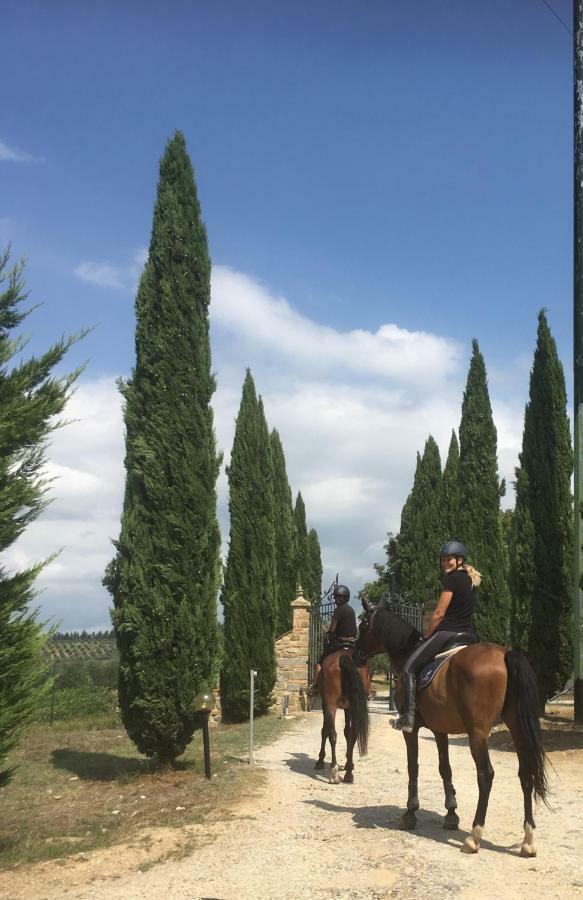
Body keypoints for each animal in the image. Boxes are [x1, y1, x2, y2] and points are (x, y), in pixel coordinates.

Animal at [314, 652, 370, 784]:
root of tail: (343, 657)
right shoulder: (348, 707)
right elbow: (347, 732)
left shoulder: (325, 705)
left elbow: (324, 731)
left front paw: (320, 760)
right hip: (353, 705)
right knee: (353, 734)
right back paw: (348, 772)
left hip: (331, 703)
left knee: (332, 733)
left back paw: (334, 771)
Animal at [356, 600, 548, 856]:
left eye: (363, 625)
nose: (355, 653)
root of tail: (505, 653)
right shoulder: (440, 730)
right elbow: (445, 768)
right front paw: (451, 814)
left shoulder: (411, 730)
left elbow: (413, 767)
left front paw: (410, 813)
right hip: (516, 725)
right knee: (525, 772)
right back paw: (527, 840)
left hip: (478, 733)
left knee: (486, 775)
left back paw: (474, 837)